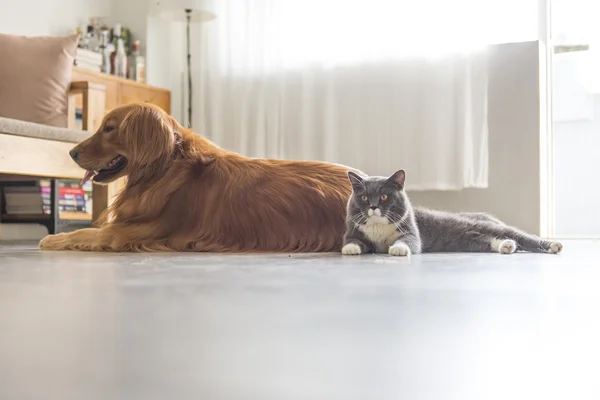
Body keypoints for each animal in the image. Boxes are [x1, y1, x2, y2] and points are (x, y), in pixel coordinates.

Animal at [39, 104, 358, 253]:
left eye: (109, 128)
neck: (164, 169)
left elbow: (84, 233)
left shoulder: (130, 233)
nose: (71, 152)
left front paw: (53, 238)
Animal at [342, 169, 564, 256]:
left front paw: (398, 249)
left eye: (384, 197)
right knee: (496, 240)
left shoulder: (411, 231)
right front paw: (350, 249)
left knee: (525, 236)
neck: (378, 227)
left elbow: (409, 241)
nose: (373, 207)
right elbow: (352, 241)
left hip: (486, 226)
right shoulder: (353, 231)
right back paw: (507, 246)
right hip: (472, 239)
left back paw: (554, 245)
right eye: (364, 198)